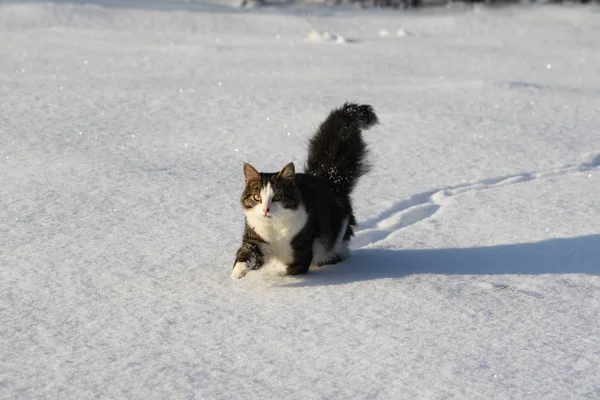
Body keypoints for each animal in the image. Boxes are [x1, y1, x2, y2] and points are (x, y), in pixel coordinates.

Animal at [232, 102, 378, 278]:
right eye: (257, 197)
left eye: (278, 196)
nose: (266, 210)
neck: (274, 229)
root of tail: (330, 179)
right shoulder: (255, 239)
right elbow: (245, 254)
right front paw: (237, 274)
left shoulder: (302, 249)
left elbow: (295, 270)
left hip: (335, 235)